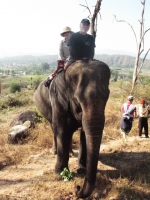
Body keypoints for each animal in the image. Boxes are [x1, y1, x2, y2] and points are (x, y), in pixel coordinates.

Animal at [33, 60, 110, 198]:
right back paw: (54, 151)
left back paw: (70, 152)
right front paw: (59, 174)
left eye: (107, 97)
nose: (77, 187)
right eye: (77, 100)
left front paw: (82, 170)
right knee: (54, 128)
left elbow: (84, 134)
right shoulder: (58, 101)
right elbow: (62, 131)